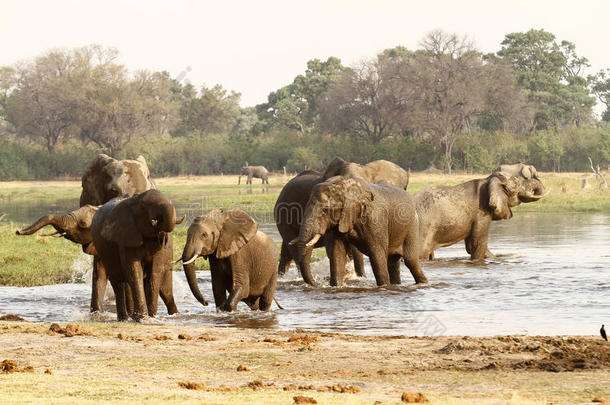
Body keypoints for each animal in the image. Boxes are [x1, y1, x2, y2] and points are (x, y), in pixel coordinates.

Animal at [90, 189, 179, 318]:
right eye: (144, 207)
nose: (156, 221)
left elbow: (155, 271)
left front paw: (151, 316)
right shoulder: (125, 235)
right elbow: (134, 271)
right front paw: (142, 318)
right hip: (104, 249)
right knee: (117, 281)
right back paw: (124, 318)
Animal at [290, 177, 426, 288]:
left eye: (325, 210)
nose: (316, 284)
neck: (343, 185)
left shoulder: (375, 220)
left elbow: (377, 254)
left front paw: (383, 287)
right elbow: (337, 253)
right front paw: (337, 286)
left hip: (412, 226)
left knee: (410, 260)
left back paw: (423, 283)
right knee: (393, 263)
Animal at [416, 170, 544, 258]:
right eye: (518, 185)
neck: (488, 180)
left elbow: (471, 246)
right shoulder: (481, 213)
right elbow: (477, 244)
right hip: (425, 226)